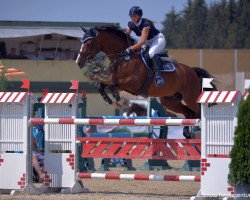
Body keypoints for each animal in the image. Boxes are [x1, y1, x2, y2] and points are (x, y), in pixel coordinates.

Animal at [75, 25, 216, 130]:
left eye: (89, 42)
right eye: (81, 42)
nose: (78, 62)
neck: (123, 58)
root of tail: (192, 71)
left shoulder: (132, 84)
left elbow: (113, 86)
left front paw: (119, 99)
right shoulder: (114, 79)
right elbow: (102, 85)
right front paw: (108, 100)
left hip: (190, 97)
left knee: (197, 111)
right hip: (170, 101)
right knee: (187, 112)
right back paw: (187, 133)